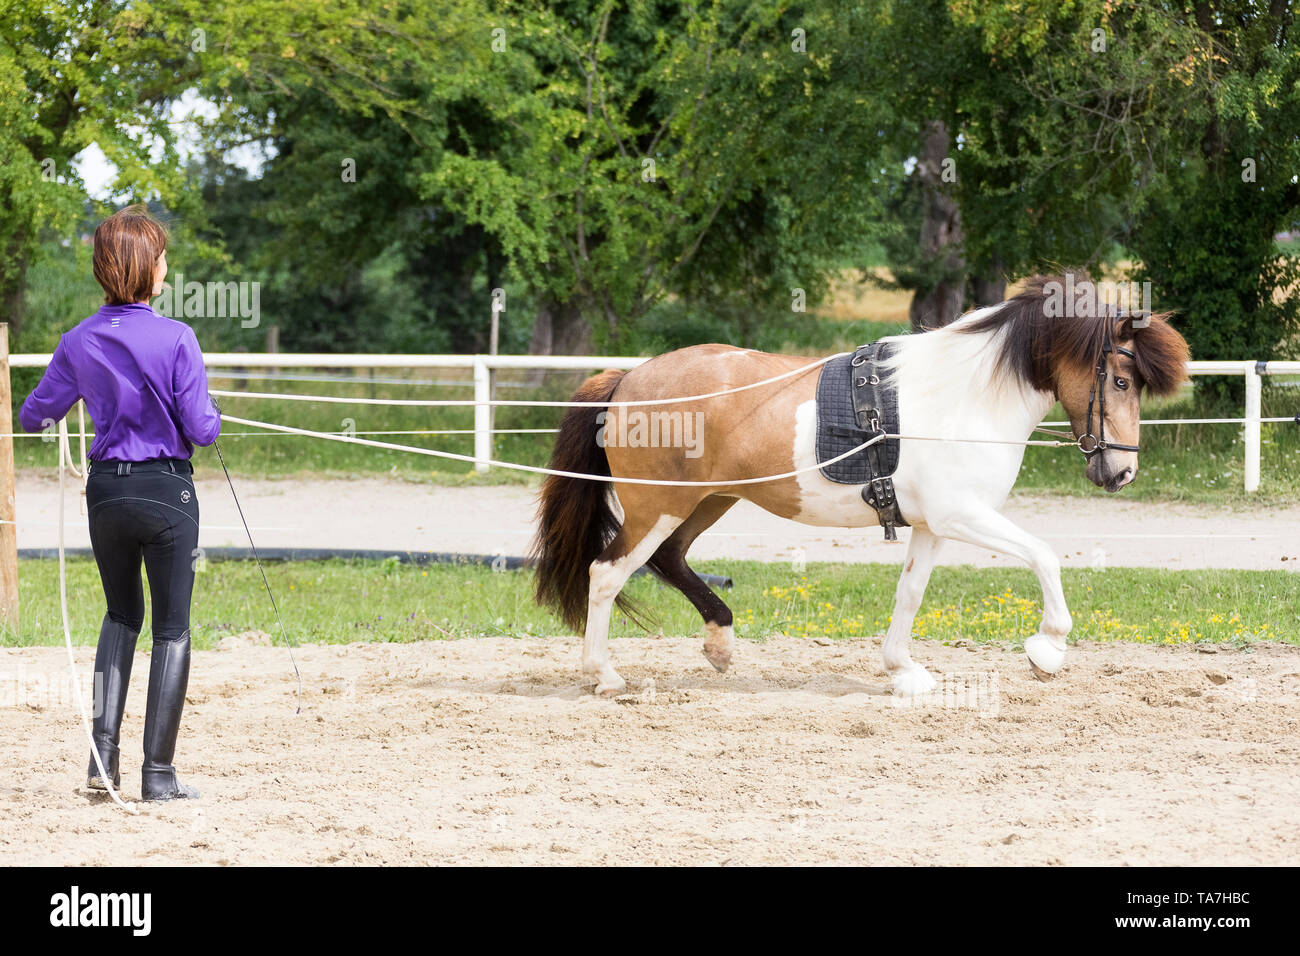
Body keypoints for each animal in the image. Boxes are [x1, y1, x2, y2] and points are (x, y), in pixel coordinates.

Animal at [527, 274, 1190, 697]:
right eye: (1122, 380)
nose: (1121, 472)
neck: (966, 397)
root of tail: (627, 380)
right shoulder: (962, 516)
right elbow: (1044, 557)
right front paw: (1046, 650)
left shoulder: (931, 526)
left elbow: (910, 594)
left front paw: (904, 672)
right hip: (659, 505)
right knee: (607, 574)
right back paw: (605, 676)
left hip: (709, 501)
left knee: (667, 559)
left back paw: (719, 646)